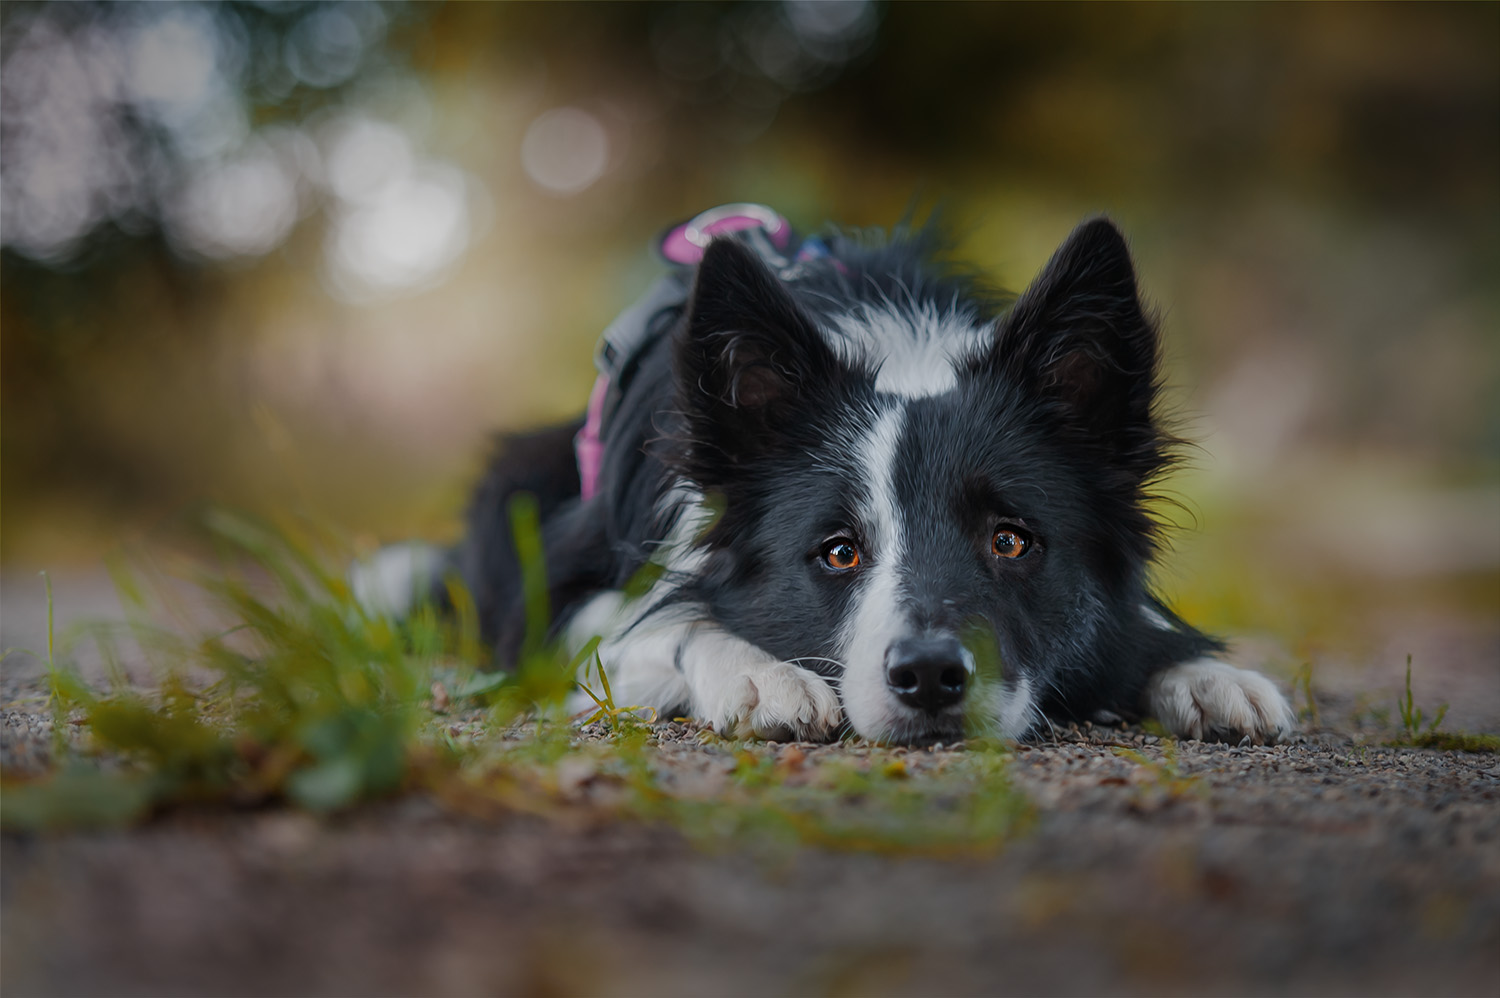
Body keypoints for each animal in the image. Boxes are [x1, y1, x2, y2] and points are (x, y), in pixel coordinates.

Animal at [357, 210, 1296, 744]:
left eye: (1011, 540)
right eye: (839, 552)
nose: (929, 678)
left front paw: (1207, 675)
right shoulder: (575, 611)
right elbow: (671, 622)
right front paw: (760, 675)